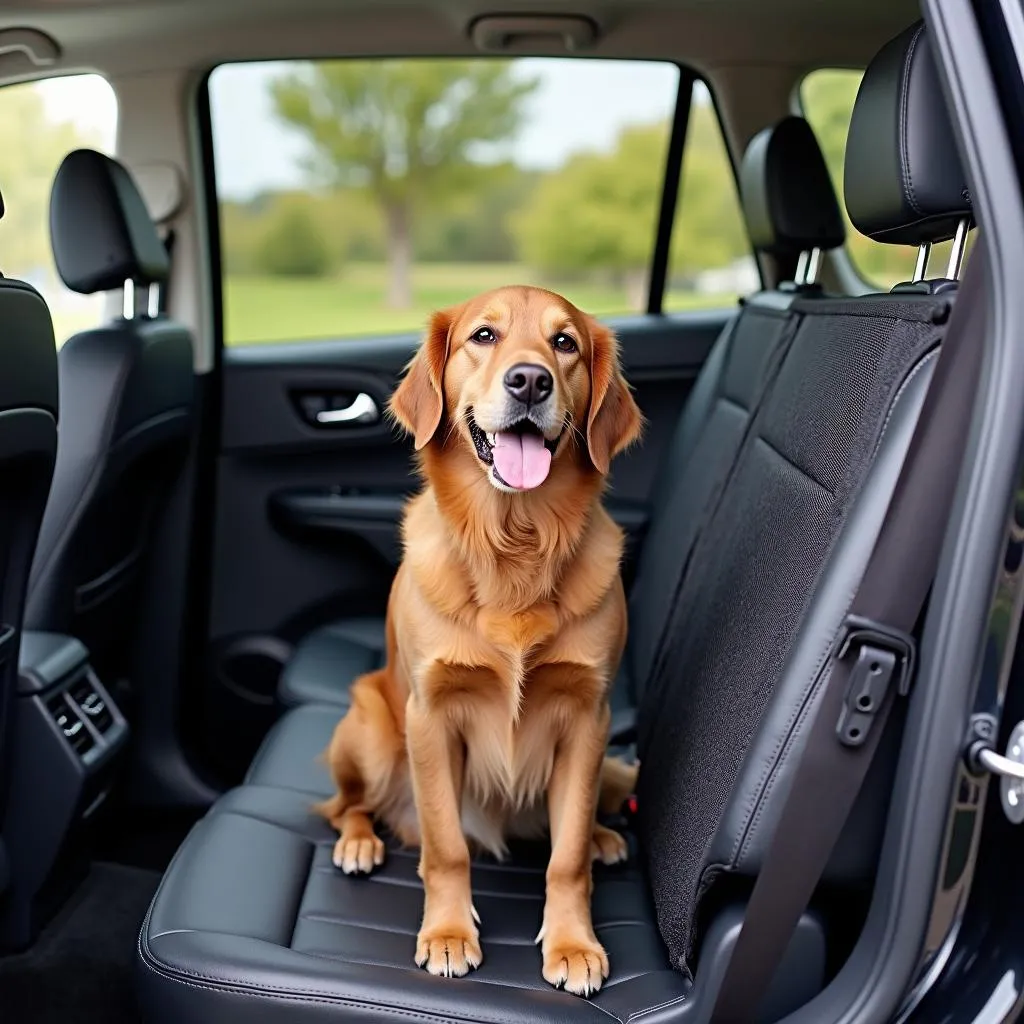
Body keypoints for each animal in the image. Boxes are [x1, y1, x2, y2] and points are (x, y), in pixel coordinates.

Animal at [317, 284, 638, 995]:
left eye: (565, 343)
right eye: (483, 336)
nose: (530, 381)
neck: (516, 540)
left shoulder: (589, 717)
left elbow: (566, 857)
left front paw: (573, 943)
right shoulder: (430, 715)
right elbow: (446, 846)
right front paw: (447, 934)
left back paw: (605, 836)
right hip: (371, 729)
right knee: (345, 805)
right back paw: (359, 842)